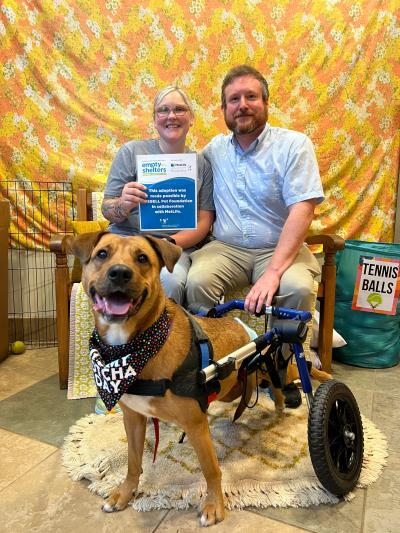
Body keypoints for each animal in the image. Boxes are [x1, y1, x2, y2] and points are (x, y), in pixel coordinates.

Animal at [68, 231, 332, 524]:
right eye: (102, 254)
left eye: (142, 258)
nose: (119, 273)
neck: (136, 347)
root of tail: (245, 327)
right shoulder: (134, 419)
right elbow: (133, 463)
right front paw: (125, 493)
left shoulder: (195, 424)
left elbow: (211, 469)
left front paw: (214, 505)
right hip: (237, 385)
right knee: (265, 380)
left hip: (272, 361)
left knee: (290, 371)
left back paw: (302, 386)